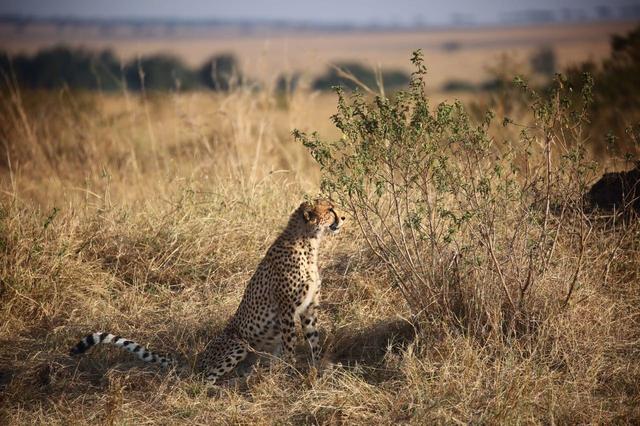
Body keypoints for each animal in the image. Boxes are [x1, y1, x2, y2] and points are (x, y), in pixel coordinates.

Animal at [70, 199, 344, 382]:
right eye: (330, 210)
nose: (343, 218)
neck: (309, 241)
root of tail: (196, 361)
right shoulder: (286, 309)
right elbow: (290, 344)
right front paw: (291, 371)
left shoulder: (309, 308)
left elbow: (313, 340)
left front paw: (317, 367)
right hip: (238, 344)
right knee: (203, 380)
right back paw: (219, 389)